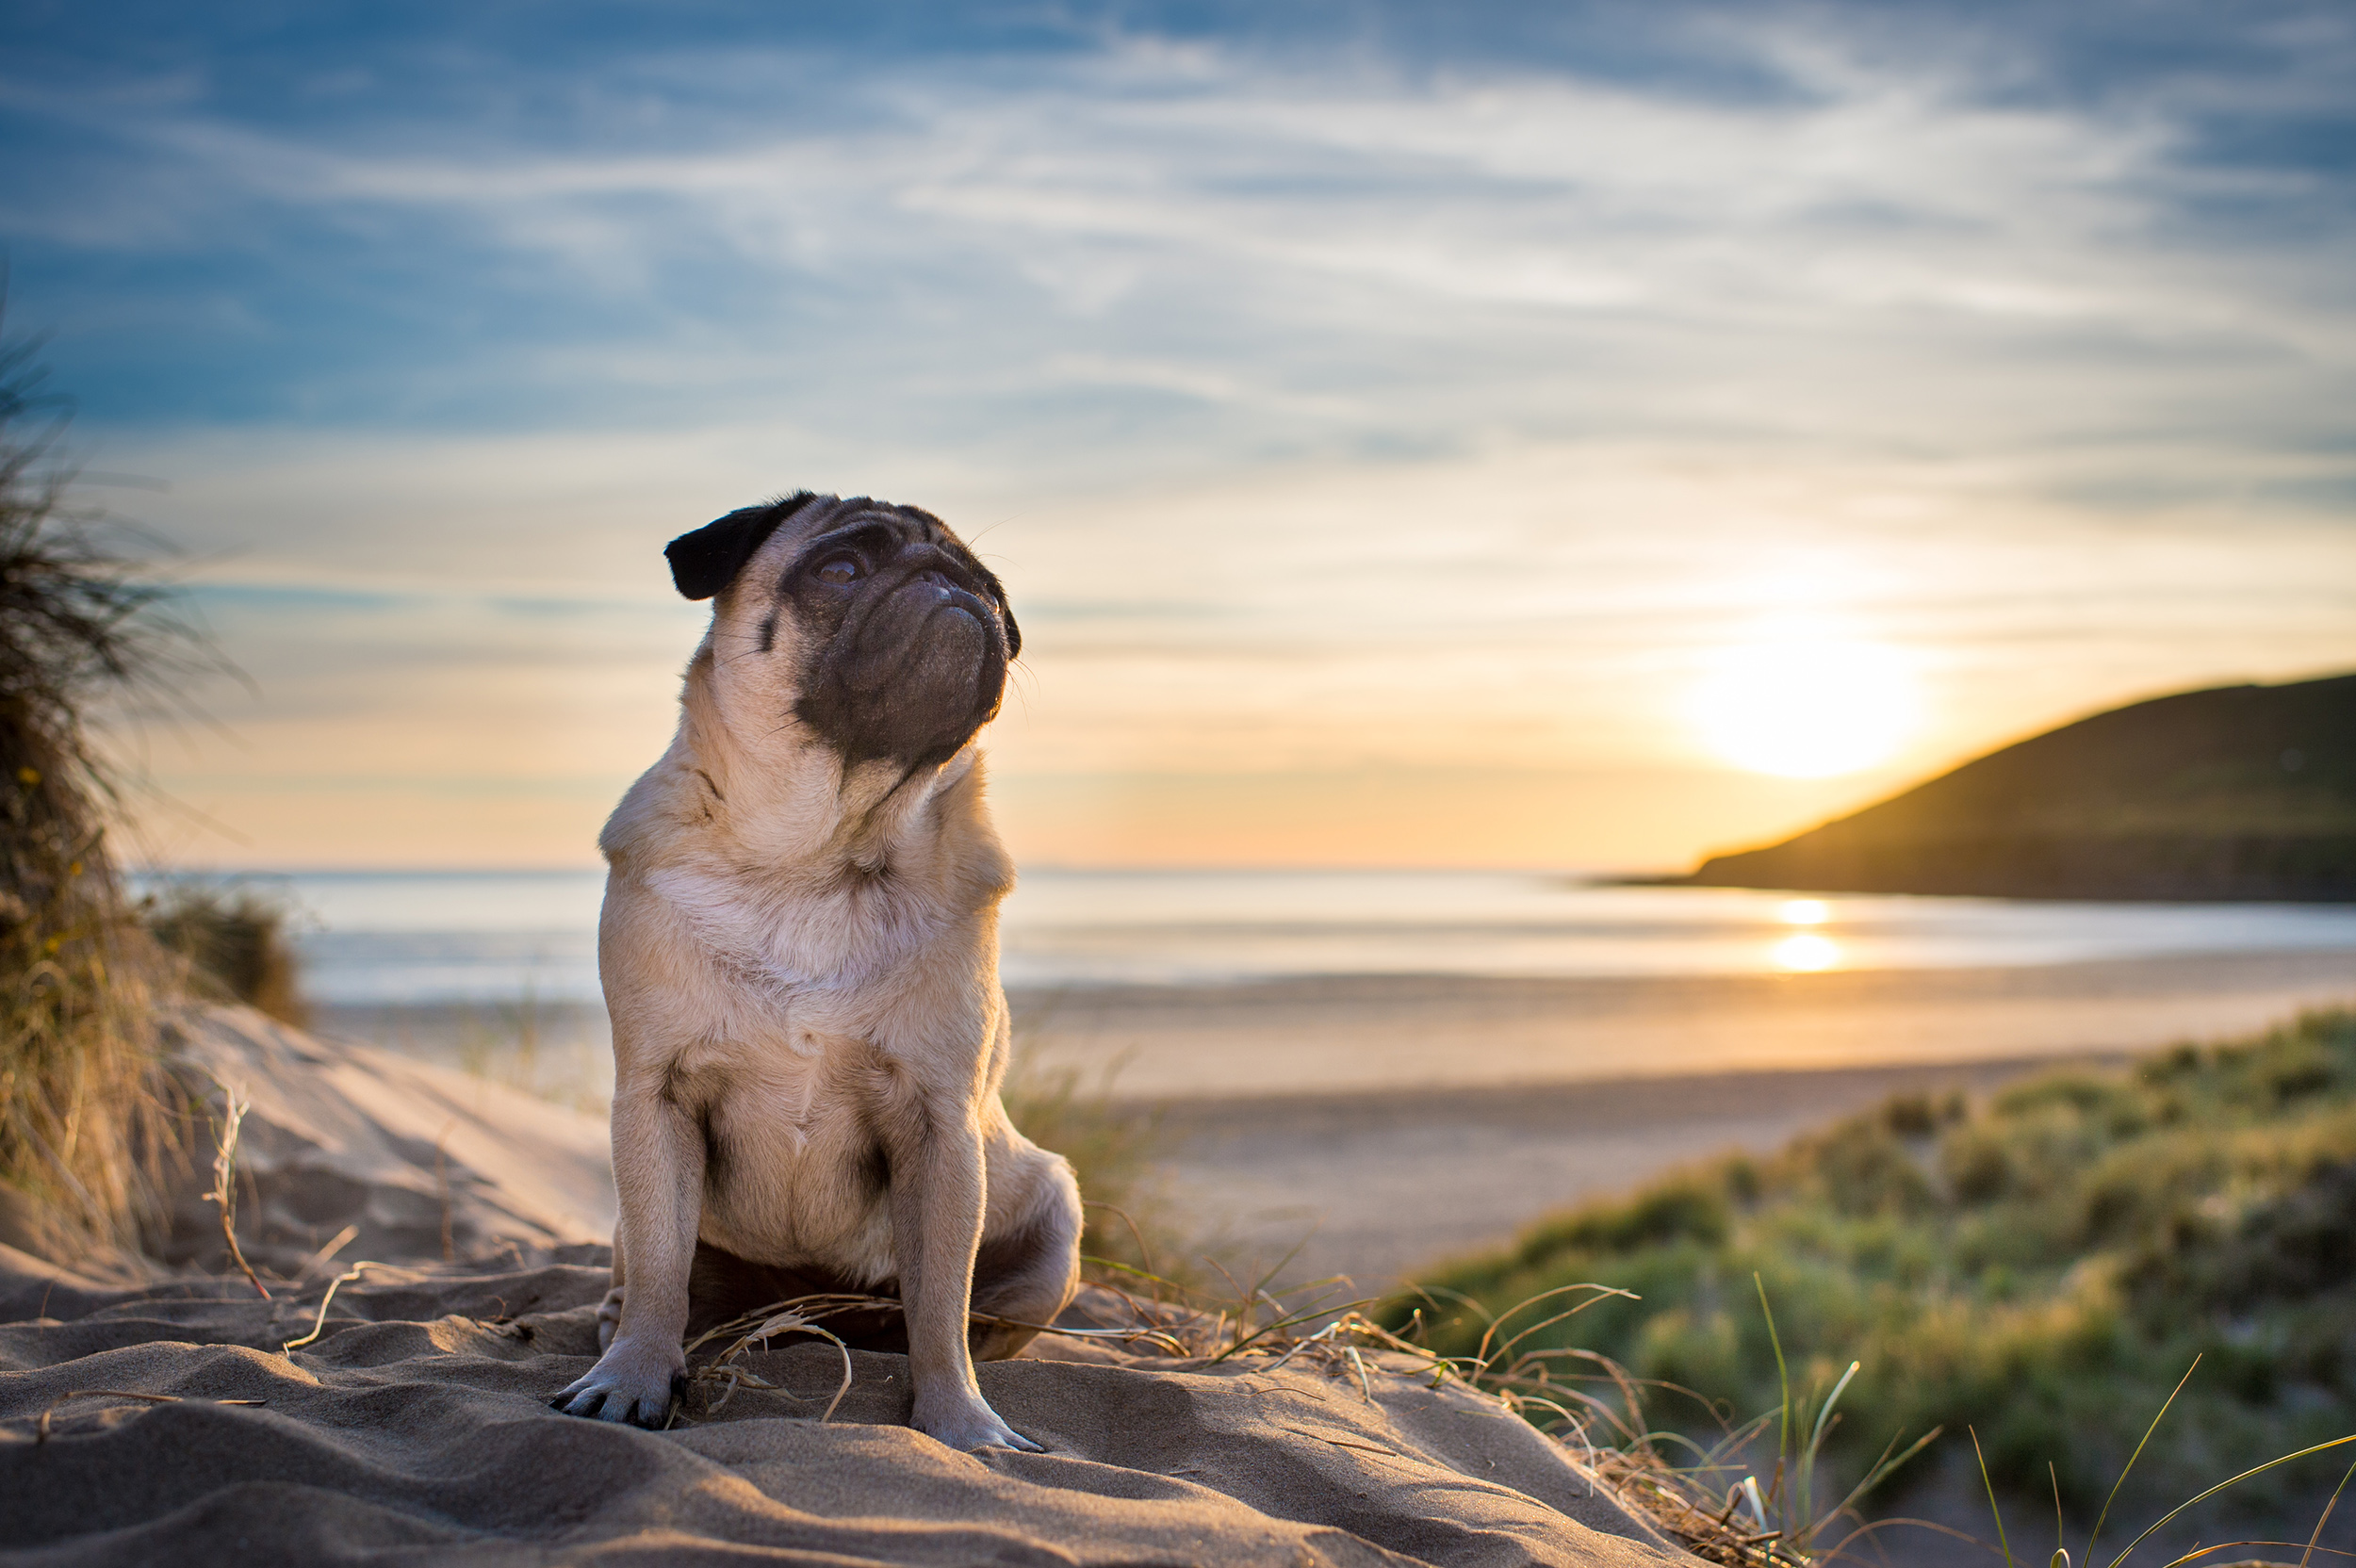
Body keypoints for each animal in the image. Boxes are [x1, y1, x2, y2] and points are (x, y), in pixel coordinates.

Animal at [561, 489, 1084, 1441]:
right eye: (842, 568)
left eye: (992, 592)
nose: (950, 586)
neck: (817, 856)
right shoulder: (655, 1100)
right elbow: (659, 1266)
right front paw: (633, 1378)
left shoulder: (941, 1130)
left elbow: (940, 1302)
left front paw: (959, 1420)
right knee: (643, 1273)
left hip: (1053, 1210)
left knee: (964, 1316)